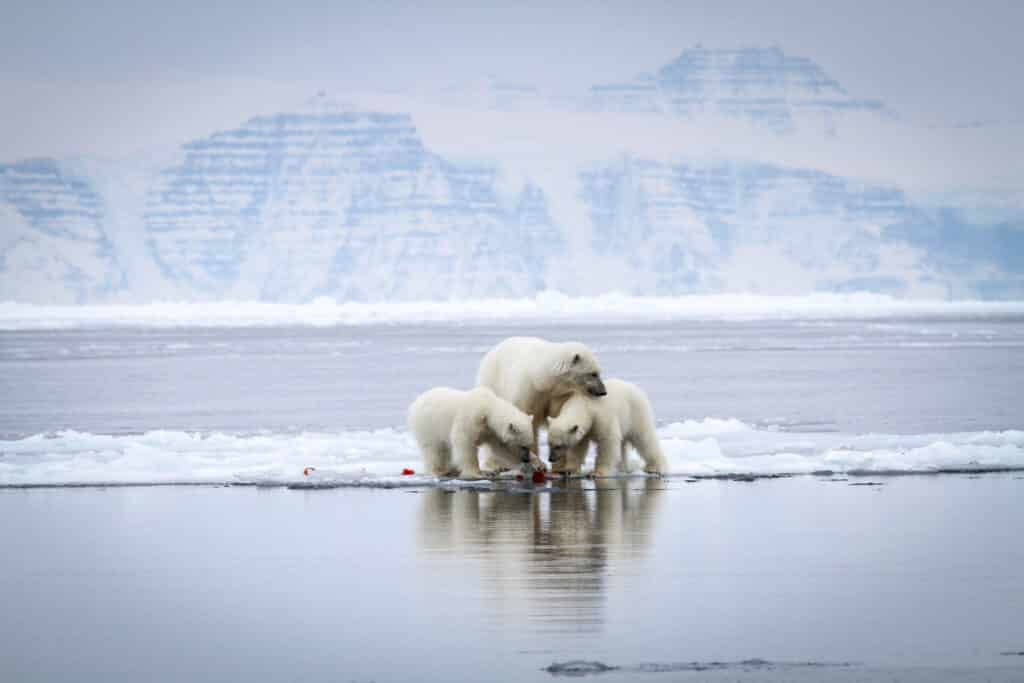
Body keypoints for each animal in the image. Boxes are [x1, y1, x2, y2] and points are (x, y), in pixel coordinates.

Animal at [407, 387, 536, 479]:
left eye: (528, 445)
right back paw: (440, 471)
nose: (526, 459)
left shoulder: (491, 431)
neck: (488, 408)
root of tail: (415, 403)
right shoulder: (471, 419)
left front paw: (535, 464)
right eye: (523, 446)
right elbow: (465, 443)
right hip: (428, 426)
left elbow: (502, 449)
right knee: (434, 450)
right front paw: (477, 473)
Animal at [473, 337, 602, 471]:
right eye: (593, 373)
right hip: (493, 382)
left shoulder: (559, 395)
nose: (603, 392)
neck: (542, 380)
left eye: (598, 372)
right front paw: (538, 464)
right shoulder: (529, 392)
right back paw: (496, 464)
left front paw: (560, 465)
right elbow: (527, 424)